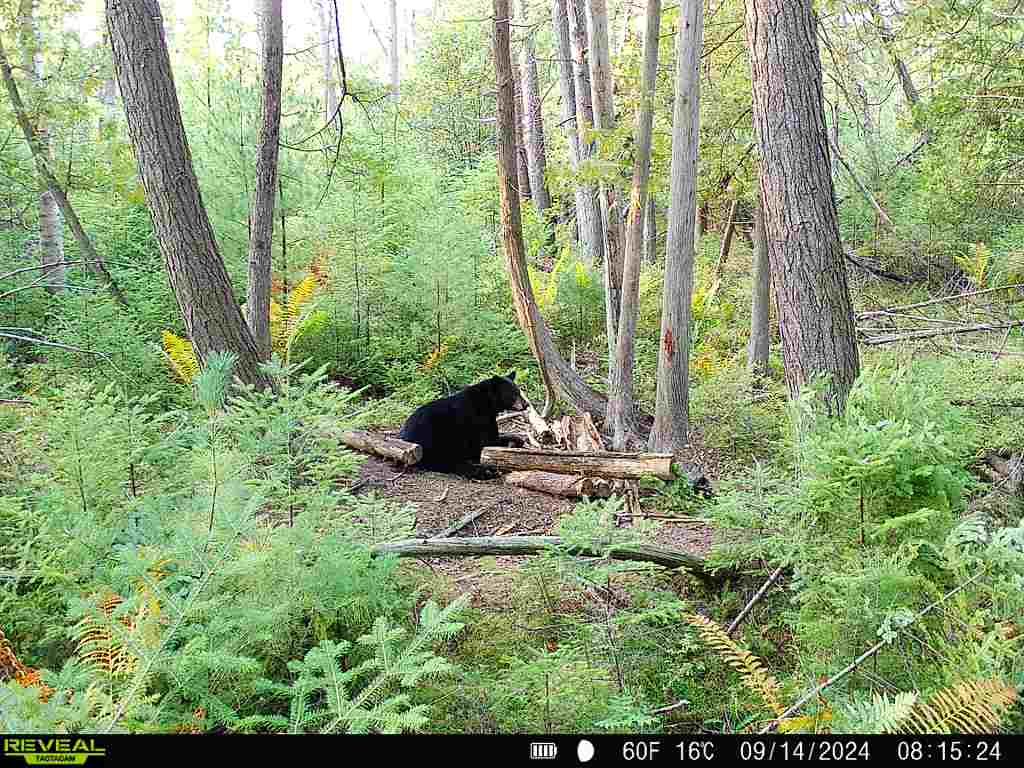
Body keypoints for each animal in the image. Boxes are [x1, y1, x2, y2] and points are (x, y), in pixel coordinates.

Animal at [399, 370, 528, 473]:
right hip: (439, 436)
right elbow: (488, 441)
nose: (526, 404)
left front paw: (517, 439)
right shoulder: (477, 418)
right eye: (513, 394)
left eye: (519, 392)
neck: (487, 403)